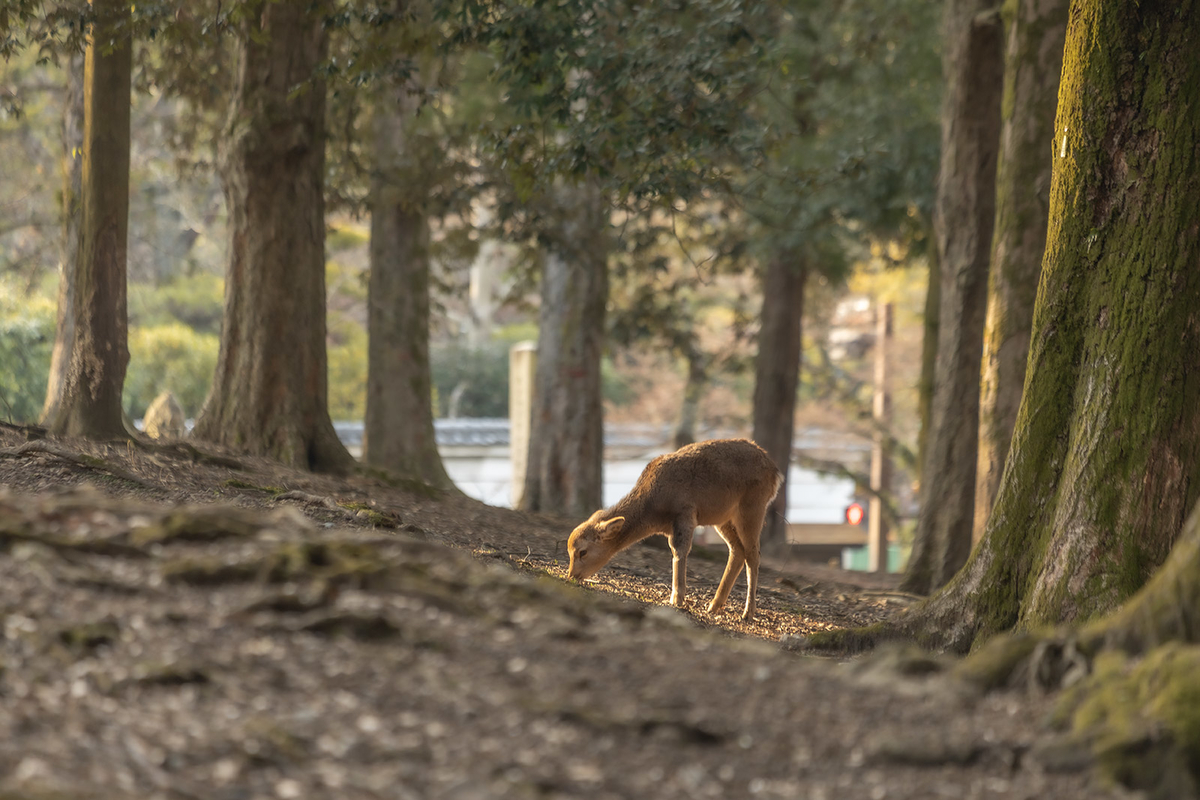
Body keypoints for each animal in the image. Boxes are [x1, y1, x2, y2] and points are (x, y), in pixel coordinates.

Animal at [566, 438, 782, 618]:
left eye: (582, 552)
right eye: (569, 551)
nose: (571, 575)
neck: (653, 510)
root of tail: (775, 472)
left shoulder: (685, 512)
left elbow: (679, 550)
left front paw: (676, 599)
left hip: (752, 508)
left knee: (753, 554)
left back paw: (748, 612)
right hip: (723, 519)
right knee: (738, 550)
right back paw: (714, 605)